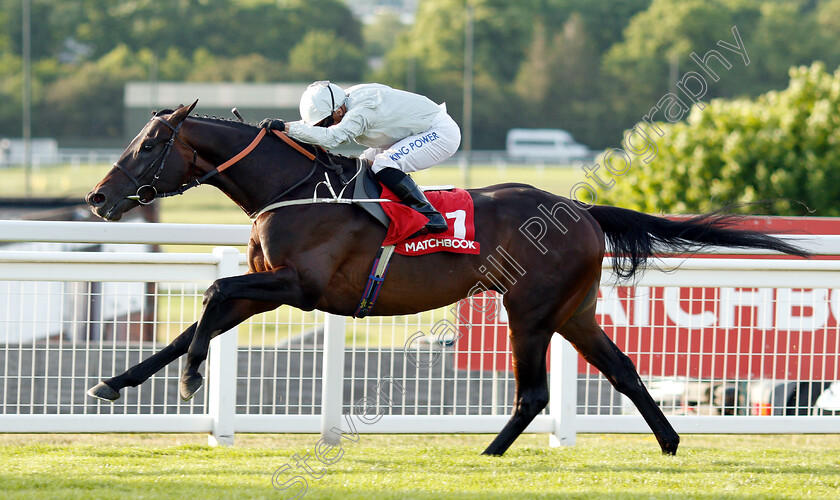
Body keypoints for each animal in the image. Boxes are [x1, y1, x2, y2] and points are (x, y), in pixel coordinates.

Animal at [83, 101, 808, 458]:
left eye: (147, 146)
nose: (96, 198)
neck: (296, 191)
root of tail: (580, 210)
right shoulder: (269, 289)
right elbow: (190, 325)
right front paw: (114, 383)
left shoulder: (301, 290)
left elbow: (210, 295)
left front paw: (191, 379)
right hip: (572, 311)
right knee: (624, 370)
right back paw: (669, 442)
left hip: (529, 309)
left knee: (534, 392)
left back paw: (489, 454)